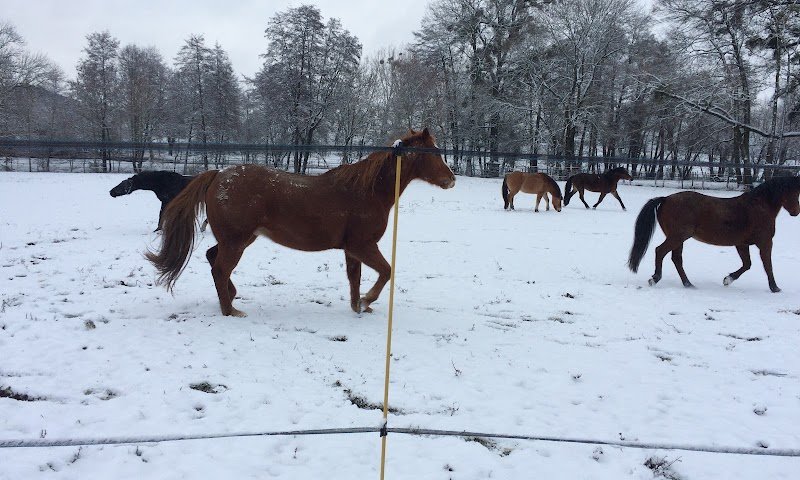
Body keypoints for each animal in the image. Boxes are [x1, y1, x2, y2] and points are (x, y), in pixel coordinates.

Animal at [146, 128, 456, 317]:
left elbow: (354, 279)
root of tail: (218, 175)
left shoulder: (351, 249)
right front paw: (368, 300)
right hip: (236, 241)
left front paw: (358, 306)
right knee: (220, 269)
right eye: (435, 152)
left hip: (239, 239)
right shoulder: (364, 245)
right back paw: (230, 310)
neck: (367, 191)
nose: (451, 179)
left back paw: (232, 298)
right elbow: (386, 272)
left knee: (213, 258)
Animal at [627, 176, 800, 292]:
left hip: (678, 238)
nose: (796, 212)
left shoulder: (741, 244)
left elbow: (747, 264)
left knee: (676, 259)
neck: (759, 207)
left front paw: (728, 279)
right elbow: (768, 265)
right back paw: (655, 278)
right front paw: (775, 288)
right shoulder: (765, 243)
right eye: (794, 192)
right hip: (678, 236)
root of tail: (666, 199)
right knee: (660, 251)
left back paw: (688, 284)